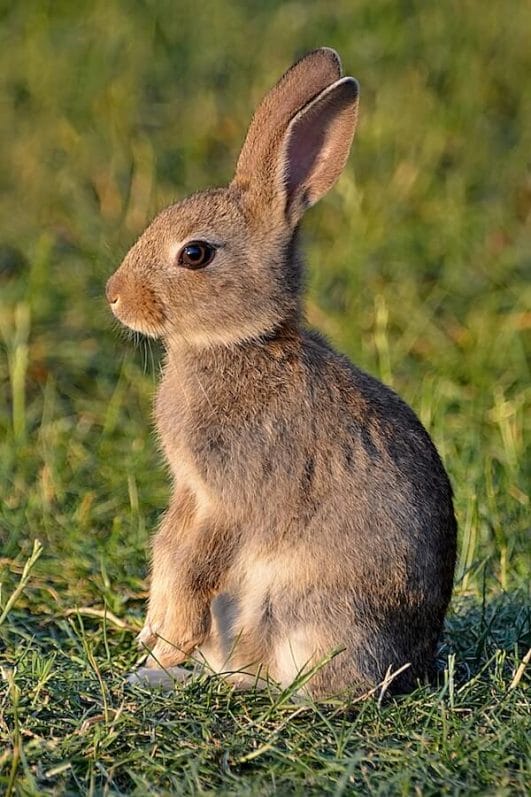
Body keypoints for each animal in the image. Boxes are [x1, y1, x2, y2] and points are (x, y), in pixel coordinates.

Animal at [107, 48, 458, 696]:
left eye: (195, 253)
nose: (114, 297)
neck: (240, 342)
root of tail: (405, 669)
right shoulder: (190, 493)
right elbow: (168, 547)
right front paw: (152, 634)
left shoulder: (231, 497)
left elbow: (196, 564)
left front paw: (164, 638)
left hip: (300, 613)